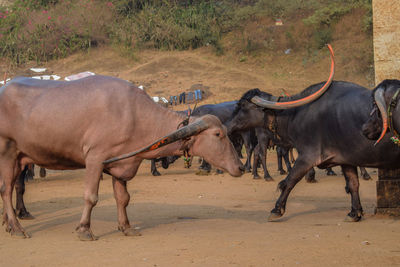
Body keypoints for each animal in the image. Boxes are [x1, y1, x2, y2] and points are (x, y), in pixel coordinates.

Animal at [0, 75, 244, 241]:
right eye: (218, 134)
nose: (241, 167)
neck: (133, 115)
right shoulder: (95, 158)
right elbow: (91, 196)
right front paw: (84, 229)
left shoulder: (122, 164)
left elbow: (123, 198)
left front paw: (126, 227)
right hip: (7, 152)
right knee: (6, 189)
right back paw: (17, 227)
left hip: (20, 157)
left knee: (8, 188)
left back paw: (8, 224)